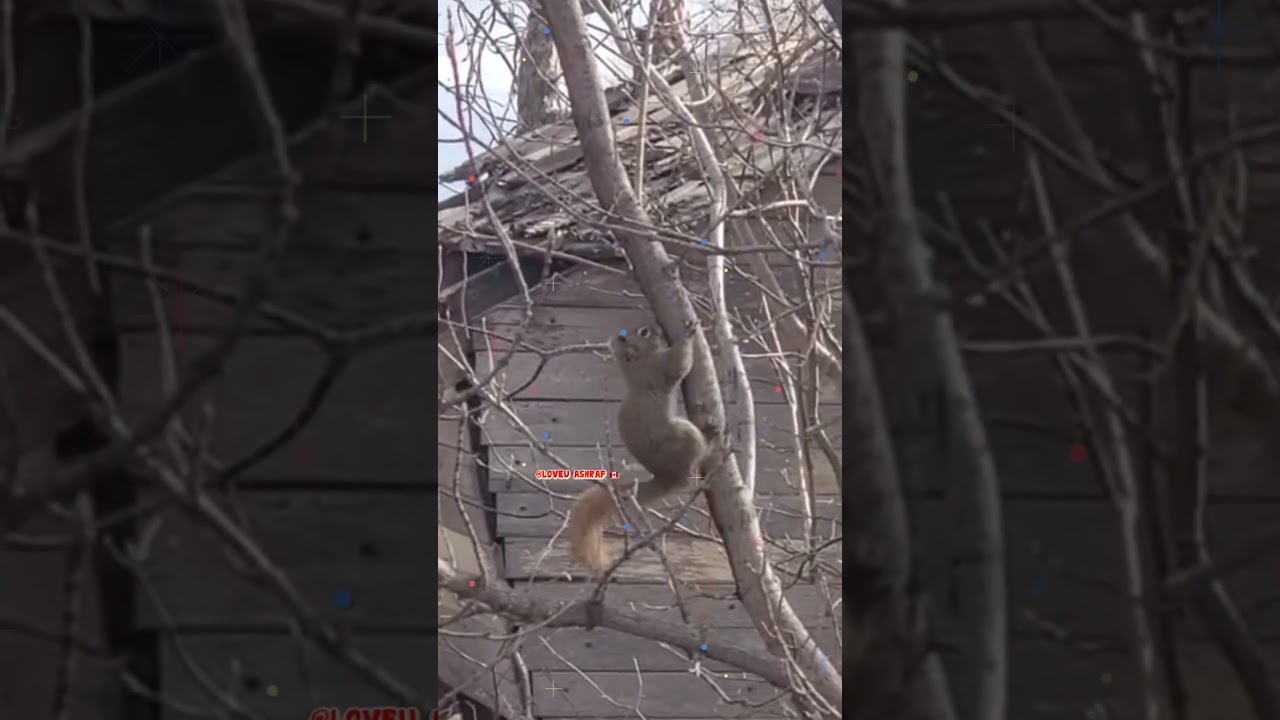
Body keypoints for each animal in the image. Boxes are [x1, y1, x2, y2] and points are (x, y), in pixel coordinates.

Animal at [568, 321, 709, 573]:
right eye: (644, 332)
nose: (656, 325)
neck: (637, 361)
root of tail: (666, 478)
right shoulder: (660, 368)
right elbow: (680, 364)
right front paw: (687, 333)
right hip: (685, 435)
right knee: (688, 472)